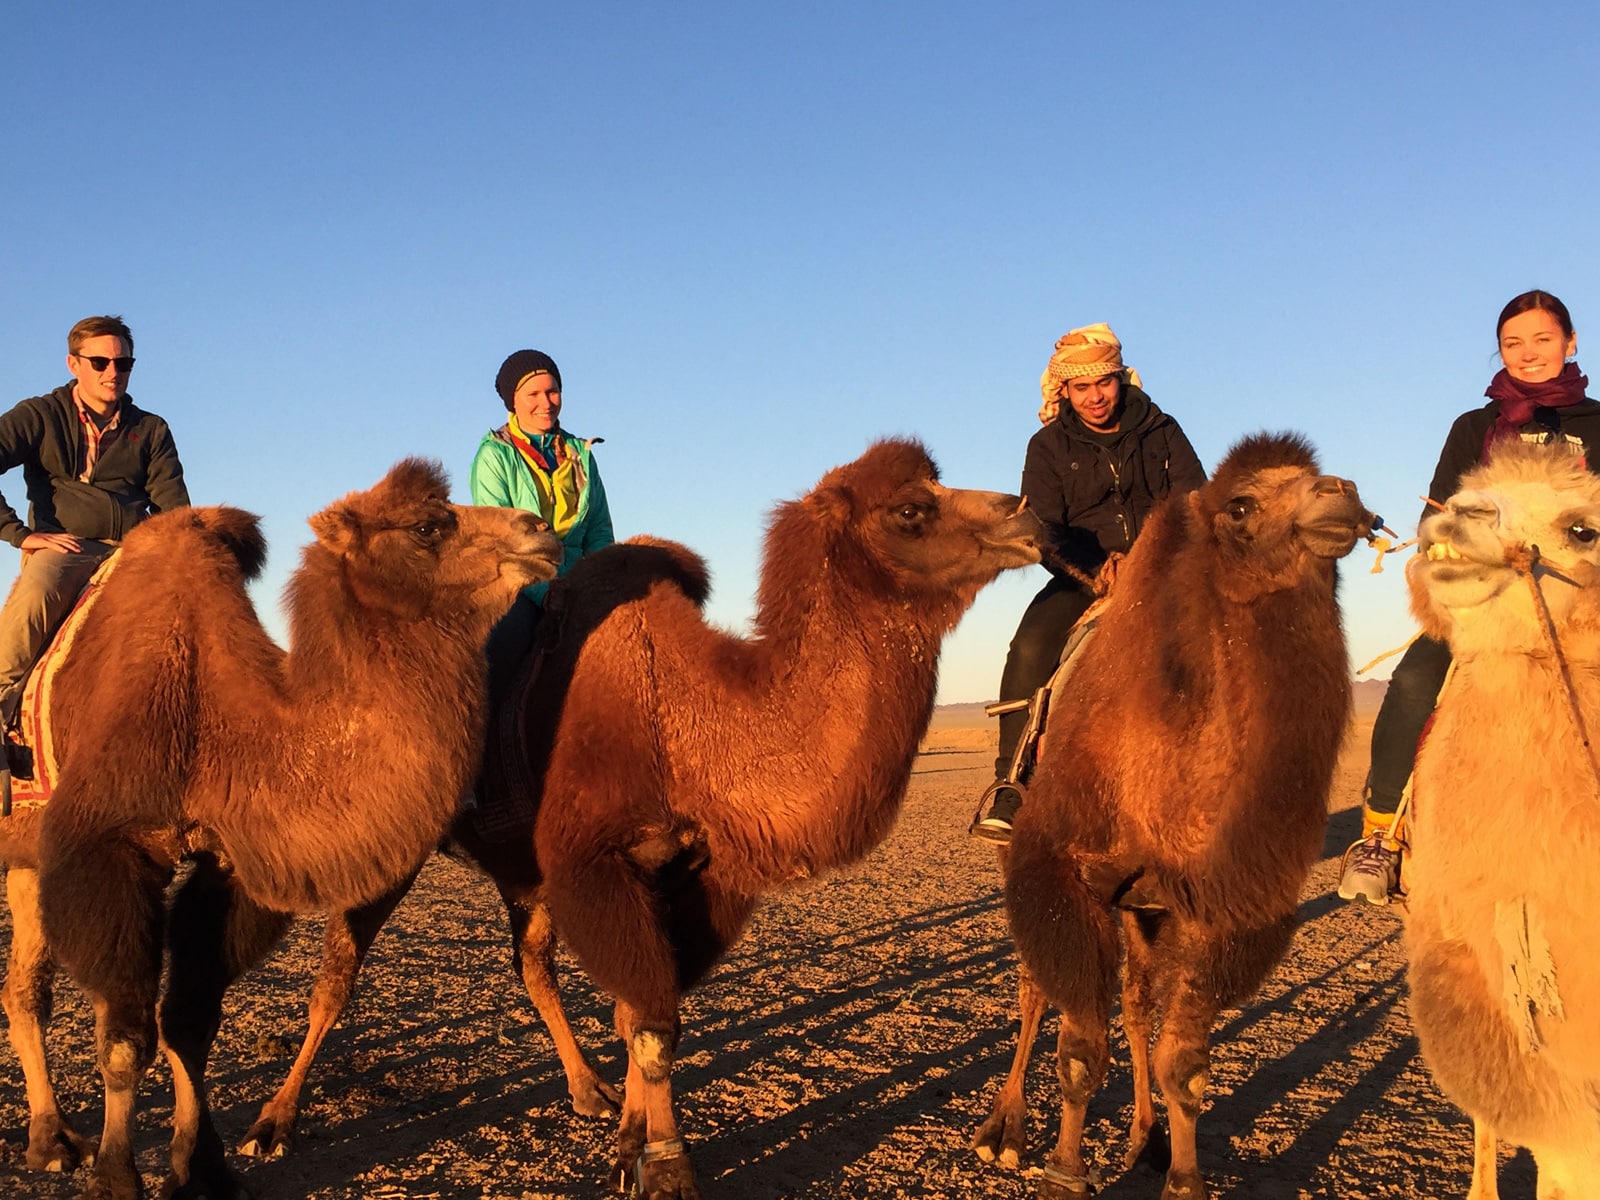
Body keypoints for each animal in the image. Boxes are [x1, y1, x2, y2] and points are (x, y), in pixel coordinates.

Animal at [25, 460, 566, 1200]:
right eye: (428, 524)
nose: (541, 530)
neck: (217, 723)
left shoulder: (229, 865)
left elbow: (188, 1023)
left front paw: (202, 1168)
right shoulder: (107, 847)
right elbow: (125, 1038)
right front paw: (116, 1177)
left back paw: (53, 1139)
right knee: (31, 991)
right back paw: (53, 1143)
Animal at [972, 435, 1376, 1200]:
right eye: (1242, 505)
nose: (1343, 494)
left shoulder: (1209, 906)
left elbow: (1182, 1065)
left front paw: (1183, 1175)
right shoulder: (1067, 876)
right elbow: (1079, 1046)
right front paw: (1063, 1170)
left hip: (1143, 908)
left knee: (1134, 1003)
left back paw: (1145, 1138)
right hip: (1027, 855)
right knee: (1036, 988)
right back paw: (1002, 1132)